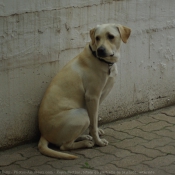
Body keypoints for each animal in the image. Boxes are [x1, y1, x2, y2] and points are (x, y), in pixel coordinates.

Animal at [38, 23, 131, 159]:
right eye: (97, 38)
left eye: (111, 36)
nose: (100, 50)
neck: (105, 62)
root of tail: (43, 135)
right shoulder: (92, 96)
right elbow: (93, 123)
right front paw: (98, 141)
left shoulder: (100, 96)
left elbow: (94, 120)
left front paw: (95, 133)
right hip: (81, 114)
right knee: (64, 146)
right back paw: (86, 143)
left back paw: (84, 137)